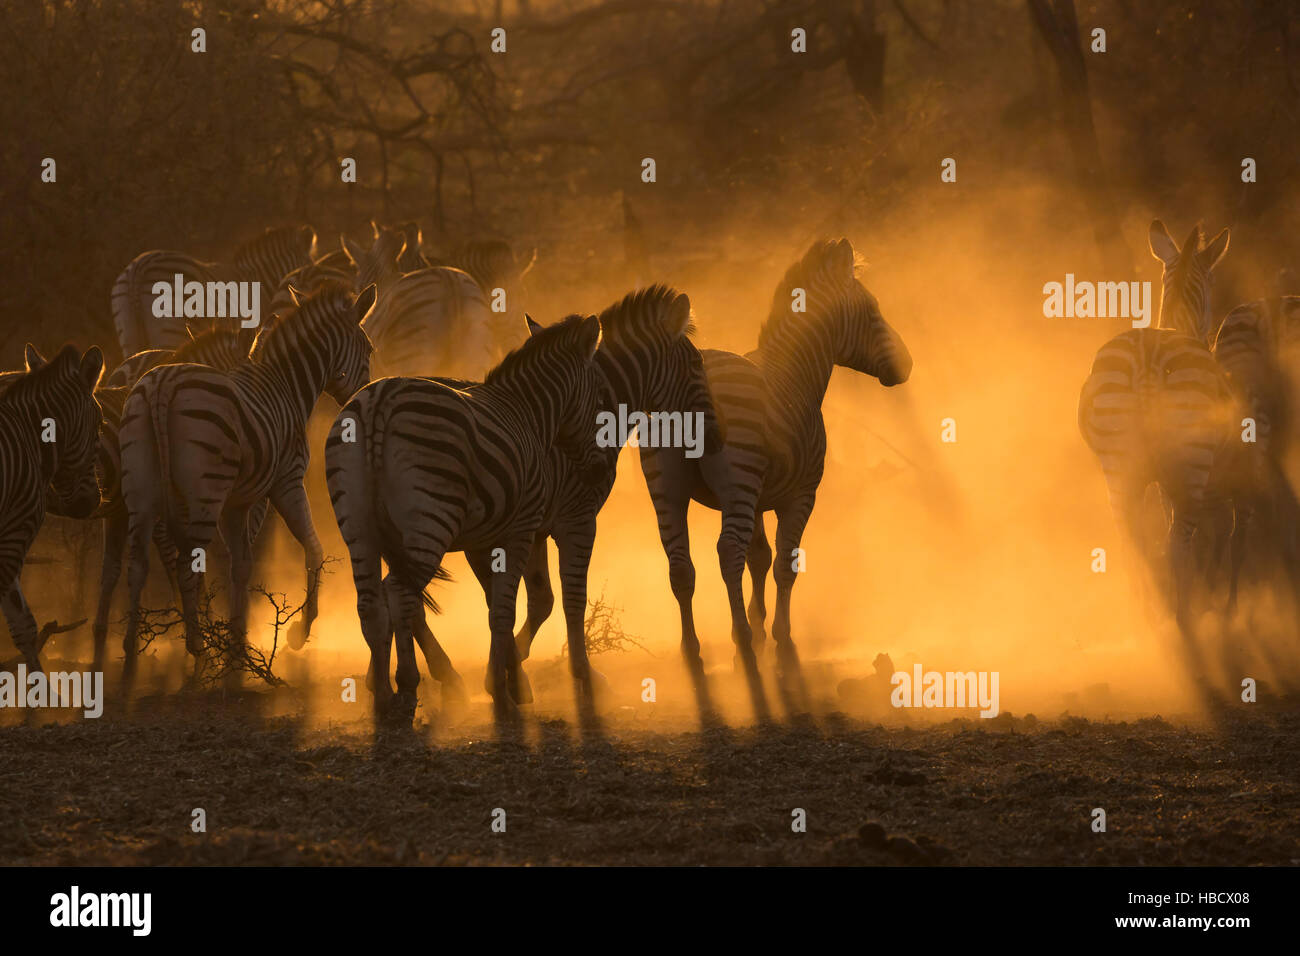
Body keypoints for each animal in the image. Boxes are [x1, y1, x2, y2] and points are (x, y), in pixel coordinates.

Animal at [119, 280, 374, 686]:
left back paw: (132, 648)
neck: (288, 384)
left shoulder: (237, 502)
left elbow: (241, 564)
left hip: (141, 491)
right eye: (368, 349)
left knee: (138, 564)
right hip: (205, 493)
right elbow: (313, 548)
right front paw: (298, 632)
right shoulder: (286, 481)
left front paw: (237, 640)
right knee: (186, 565)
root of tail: (162, 384)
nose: (363, 396)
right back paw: (197, 648)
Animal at [325, 314, 608, 723]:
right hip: (431, 517)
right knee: (401, 595)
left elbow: (497, 605)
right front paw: (504, 694)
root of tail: (378, 401)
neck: (529, 413)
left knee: (371, 603)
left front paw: (508, 682)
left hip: (359, 528)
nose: (600, 472)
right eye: (601, 398)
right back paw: (407, 687)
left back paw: (382, 697)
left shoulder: (484, 539)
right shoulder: (520, 529)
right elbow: (503, 611)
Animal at [634, 239, 909, 702]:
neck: (796, 372)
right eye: (872, 310)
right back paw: (740, 641)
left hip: (667, 490)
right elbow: (784, 563)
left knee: (680, 564)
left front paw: (760, 623)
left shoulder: (762, 494)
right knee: (727, 552)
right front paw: (778, 635)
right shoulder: (799, 494)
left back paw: (693, 649)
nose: (907, 366)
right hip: (736, 481)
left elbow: (759, 558)